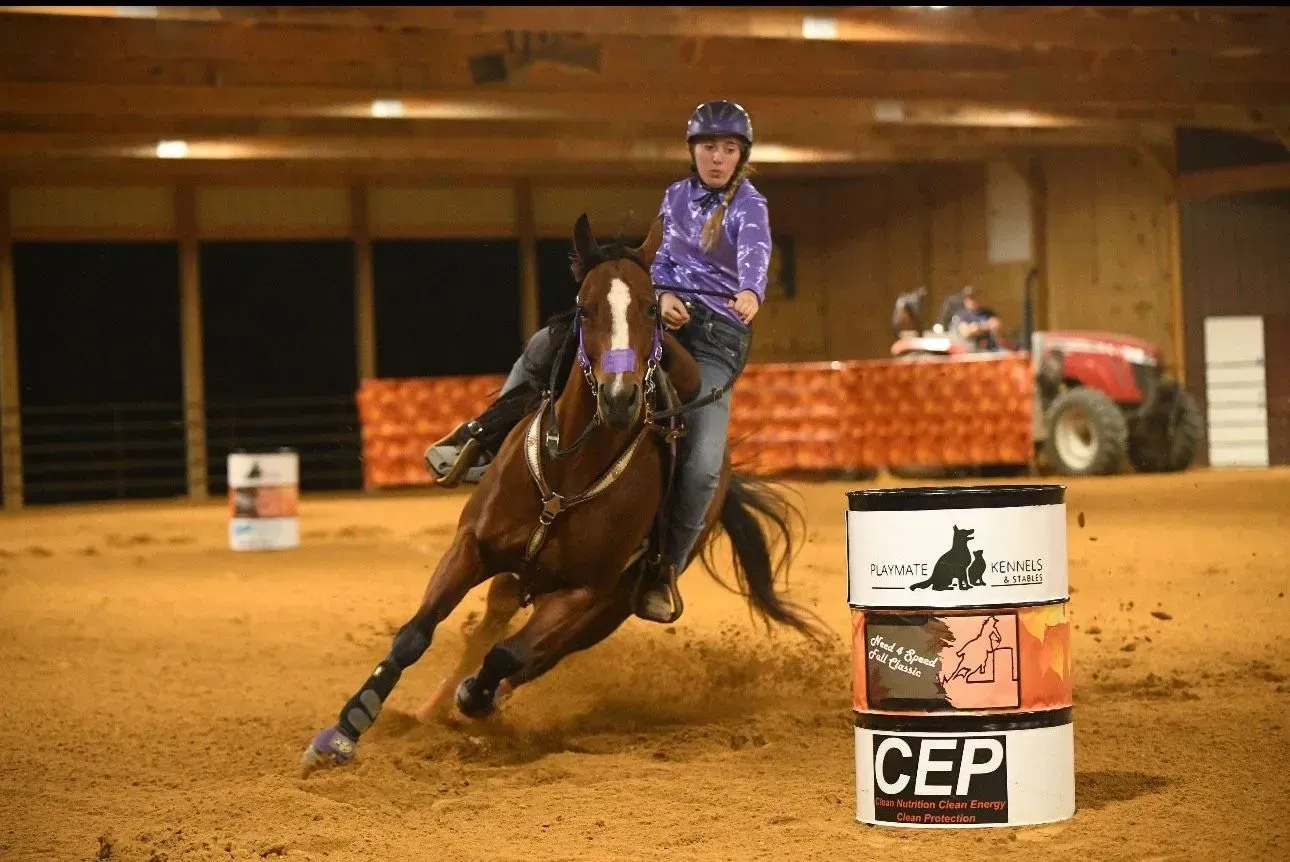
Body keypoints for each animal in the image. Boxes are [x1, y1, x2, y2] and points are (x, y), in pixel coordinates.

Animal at [301, 212, 827, 773]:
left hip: (609, 609)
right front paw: (343, 731)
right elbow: (415, 634)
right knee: (493, 620)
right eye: (584, 306)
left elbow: (509, 655)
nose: (620, 399)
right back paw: (432, 711)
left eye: (649, 307)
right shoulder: (472, 545)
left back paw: (473, 703)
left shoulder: (583, 592)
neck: (569, 471)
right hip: (521, 575)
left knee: (534, 655)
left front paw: (477, 697)